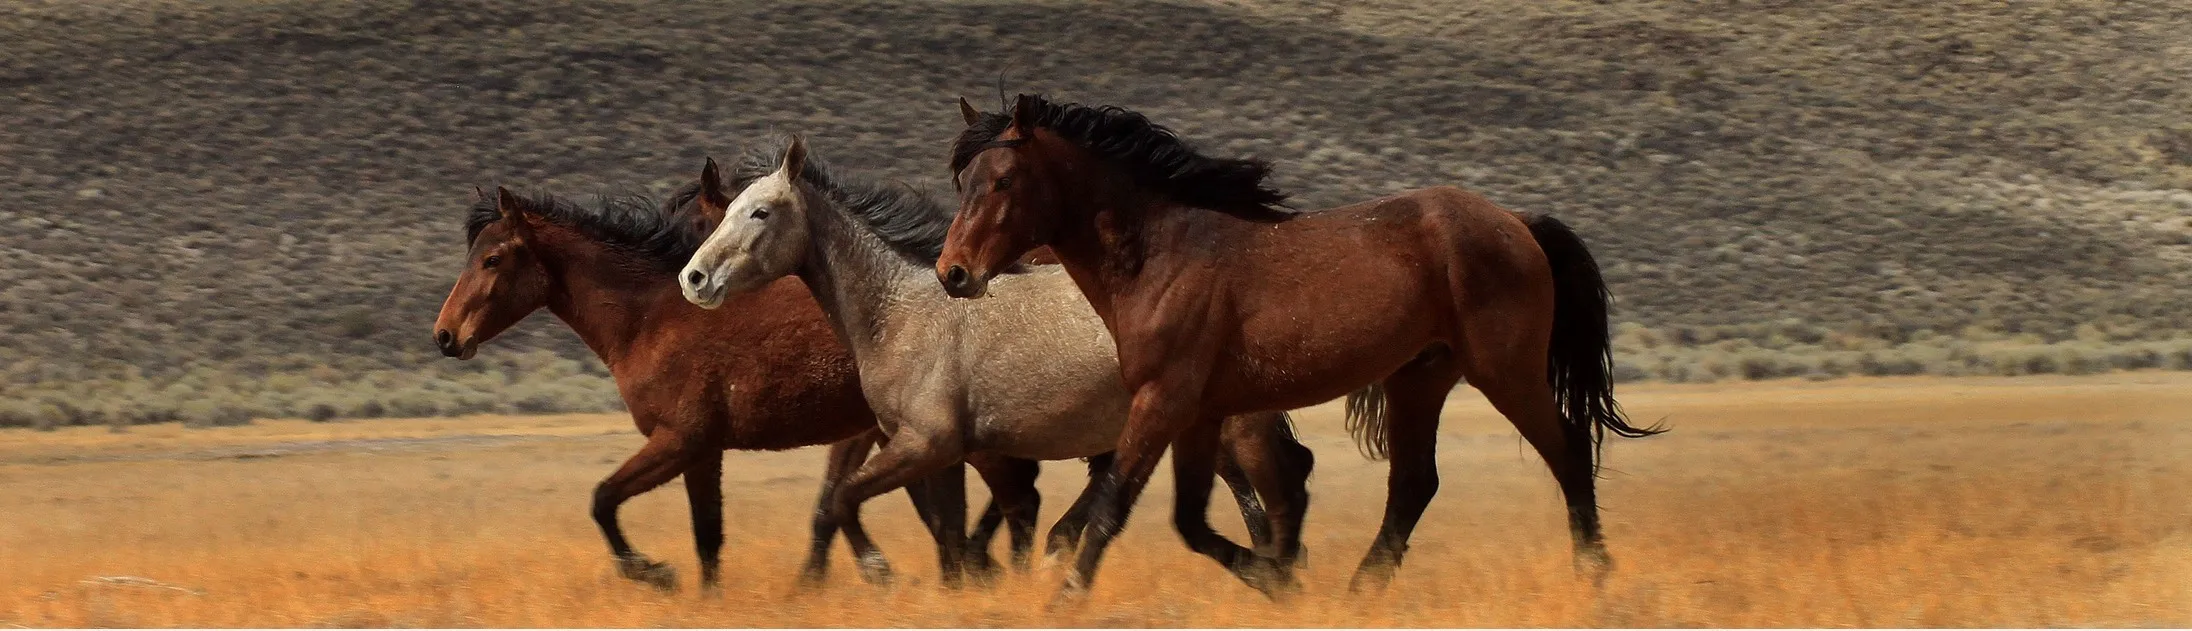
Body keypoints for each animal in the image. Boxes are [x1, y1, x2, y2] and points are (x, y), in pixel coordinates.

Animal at [431, 183, 1068, 590]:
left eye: (492, 259)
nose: (445, 334)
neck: (651, 317)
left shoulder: (678, 440)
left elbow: (603, 500)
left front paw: (653, 574)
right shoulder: (702, 451)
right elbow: (707, 536)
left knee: (1018, 499)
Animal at [677, 136, 1317, 596]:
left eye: (760, 213)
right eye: (724, 213)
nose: (694, 279)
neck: (898, 312)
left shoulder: (926, 443)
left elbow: (844, 500)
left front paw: (882, 572)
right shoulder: (937, 453)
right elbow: (945, 530)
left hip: (1234, 428)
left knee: (1279, 487)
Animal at [935, 94, 1664, 598]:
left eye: (1003, 181)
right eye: (961, 181)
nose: (954, 273)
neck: (1162, 253)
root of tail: (1517, 221)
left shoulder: (1163, 401)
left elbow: (1113, 507)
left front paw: (1064, 598)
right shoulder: (1199, 413)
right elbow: (1190, 521)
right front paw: (1278, 578)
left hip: (1504, 370)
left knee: (1567, 451)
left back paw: (1595, 574)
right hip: (1419, 377)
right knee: (1414, 483)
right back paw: (1359, 593)